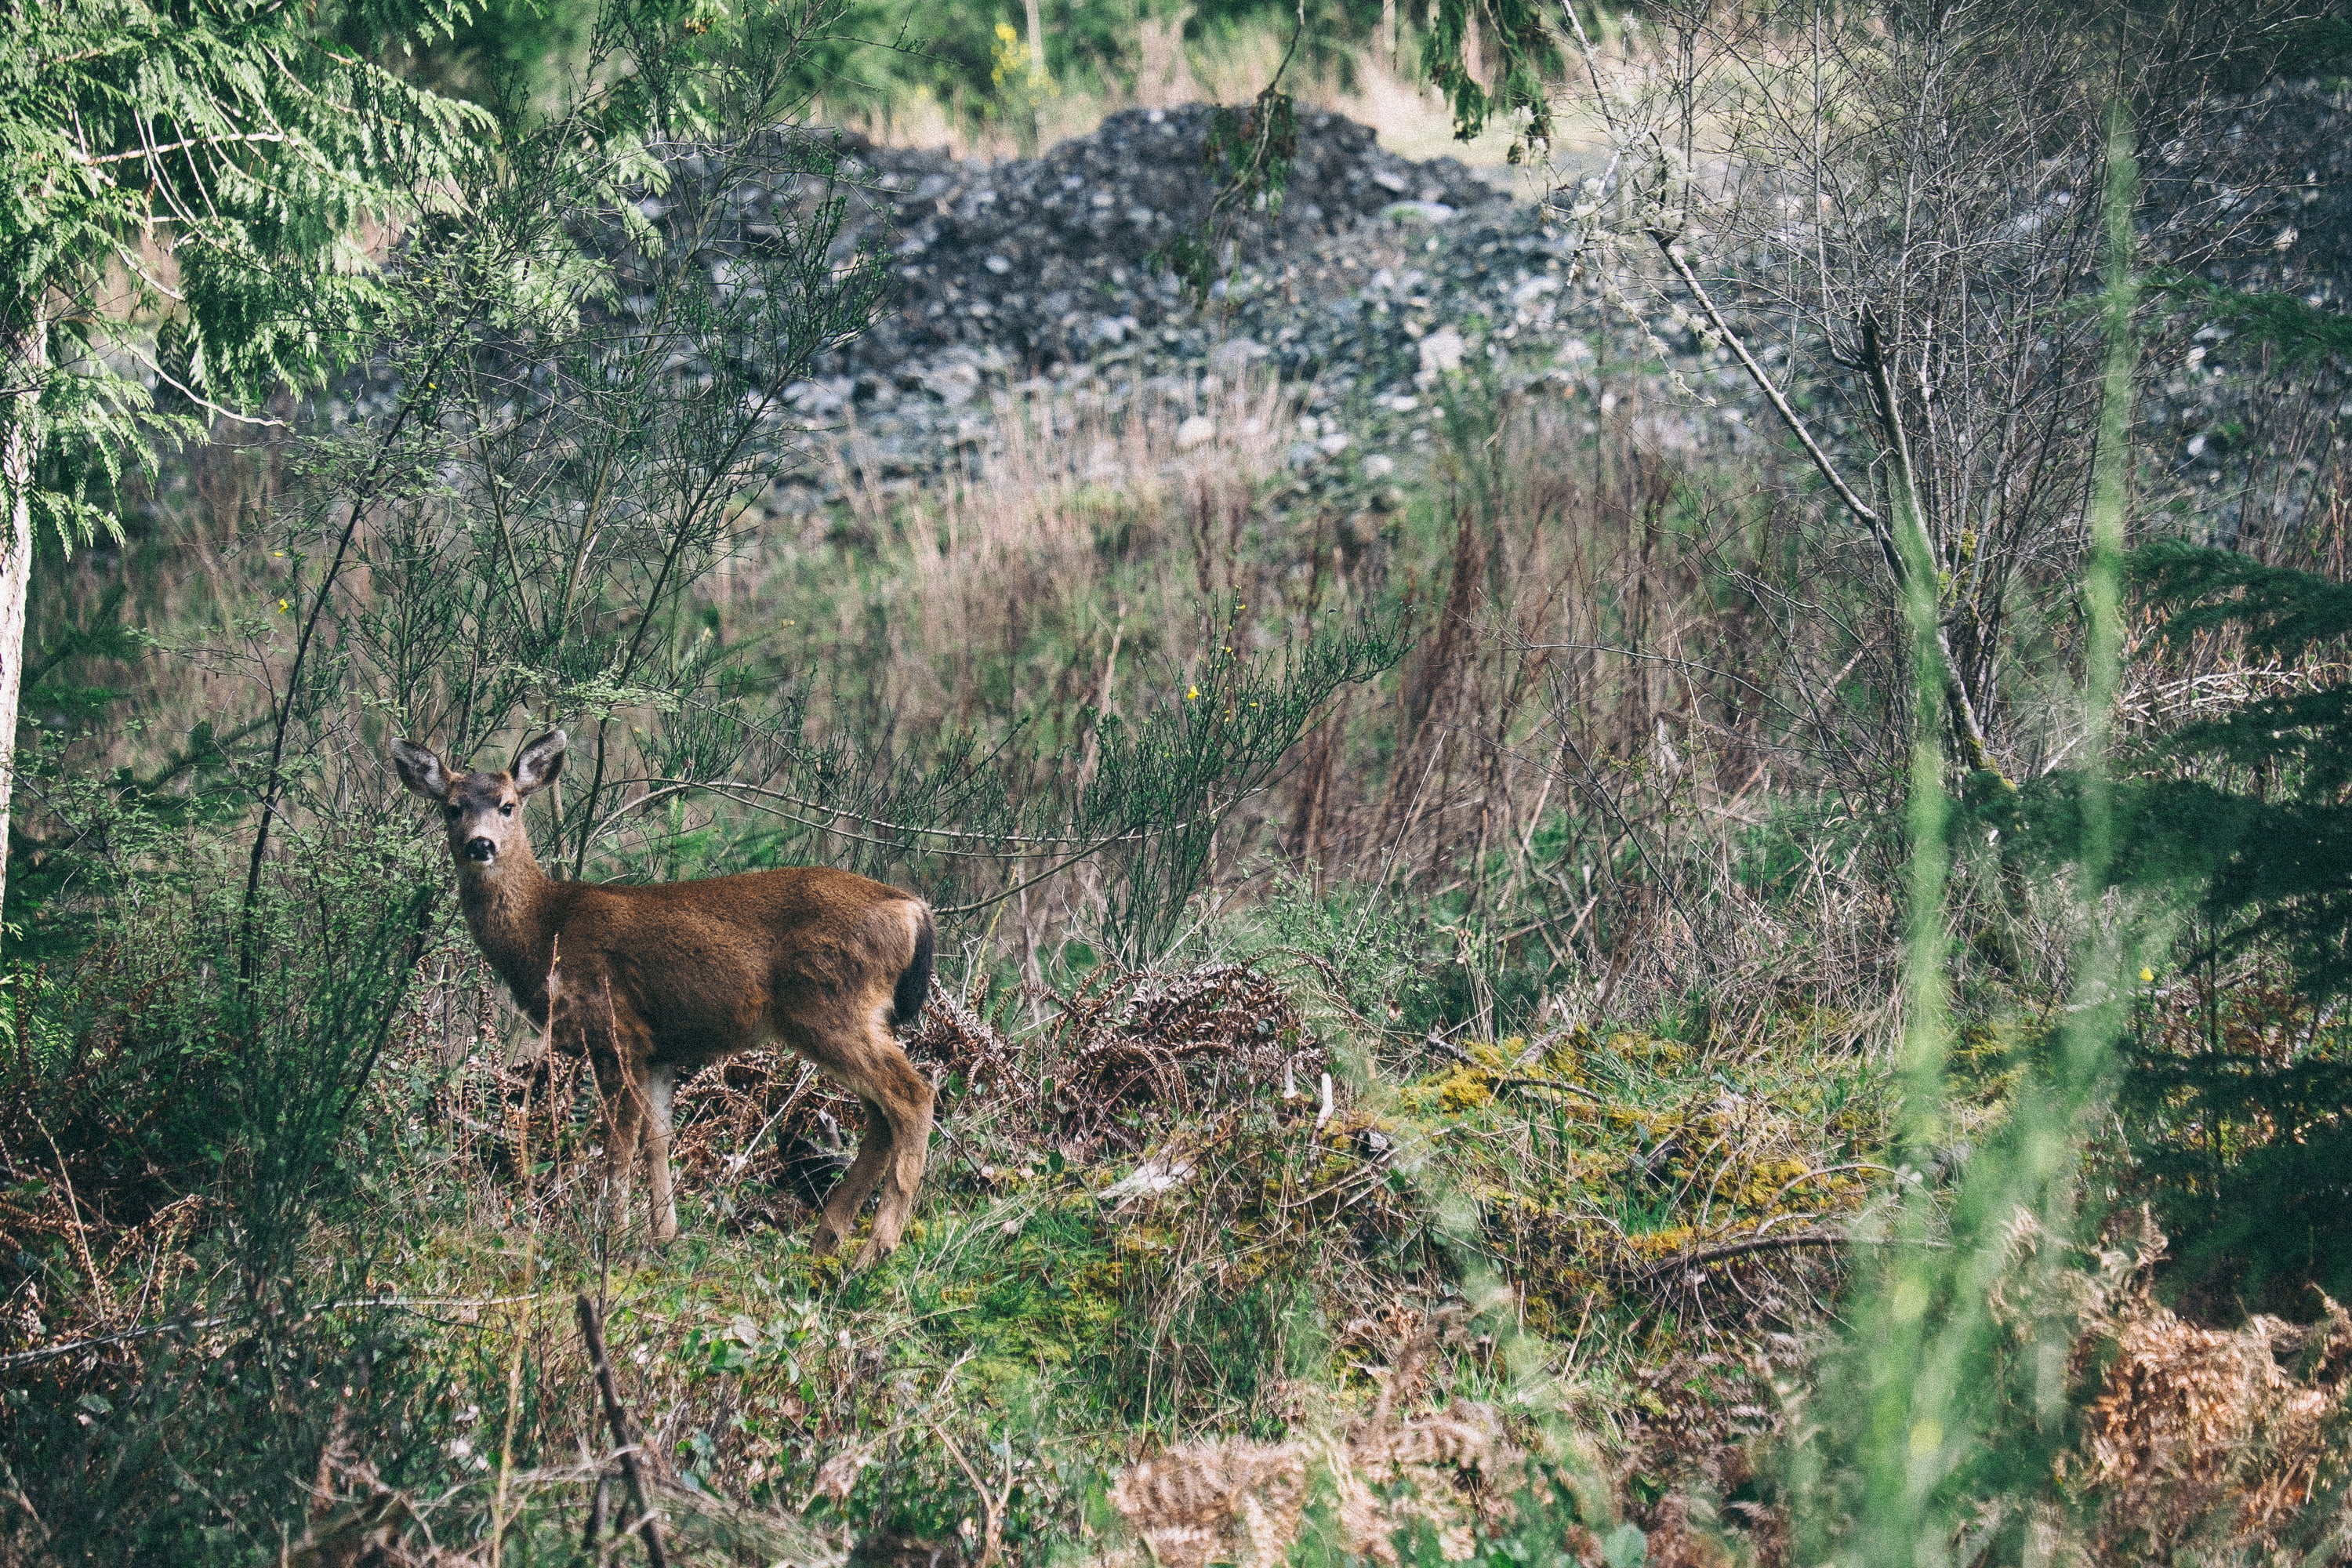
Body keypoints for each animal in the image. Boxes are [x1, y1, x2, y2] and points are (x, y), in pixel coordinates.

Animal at [390, 733, 931, 1260]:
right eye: (452, 808)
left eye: (507, 806)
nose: (481, 845)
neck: (546, 931)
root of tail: (913, 910)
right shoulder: (656, 1048)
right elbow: (658, 1138)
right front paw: (663, 1236)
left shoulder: (618, 1030)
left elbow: (619, 1146)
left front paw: (613, 1239)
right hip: (850, 1016)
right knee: (881, 1117)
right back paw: (828, 1242)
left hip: (831, 1008)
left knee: (913, 1097)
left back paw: (874, 1251)